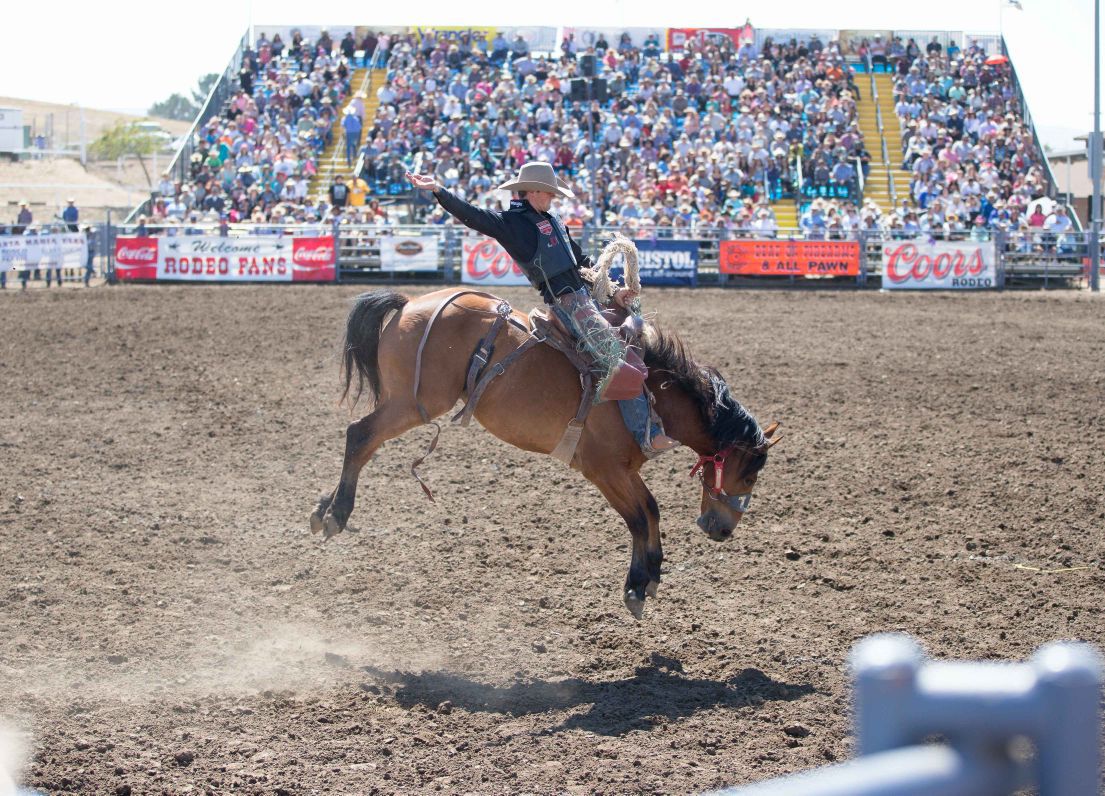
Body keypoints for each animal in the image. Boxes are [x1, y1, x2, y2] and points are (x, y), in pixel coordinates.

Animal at [311, 289, 777, 619]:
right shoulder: (604, 470)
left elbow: (650, 511)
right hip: (414, 404)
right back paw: (337, 514)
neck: (649, 392)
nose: (722, 530)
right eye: (750, 475)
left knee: (362, 442)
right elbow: (639, 515)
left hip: (404, 403)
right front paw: (639, 584)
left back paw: (322, 510)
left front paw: (649, 578)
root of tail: (410, 303)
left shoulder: (624, 470)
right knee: (359, 436)